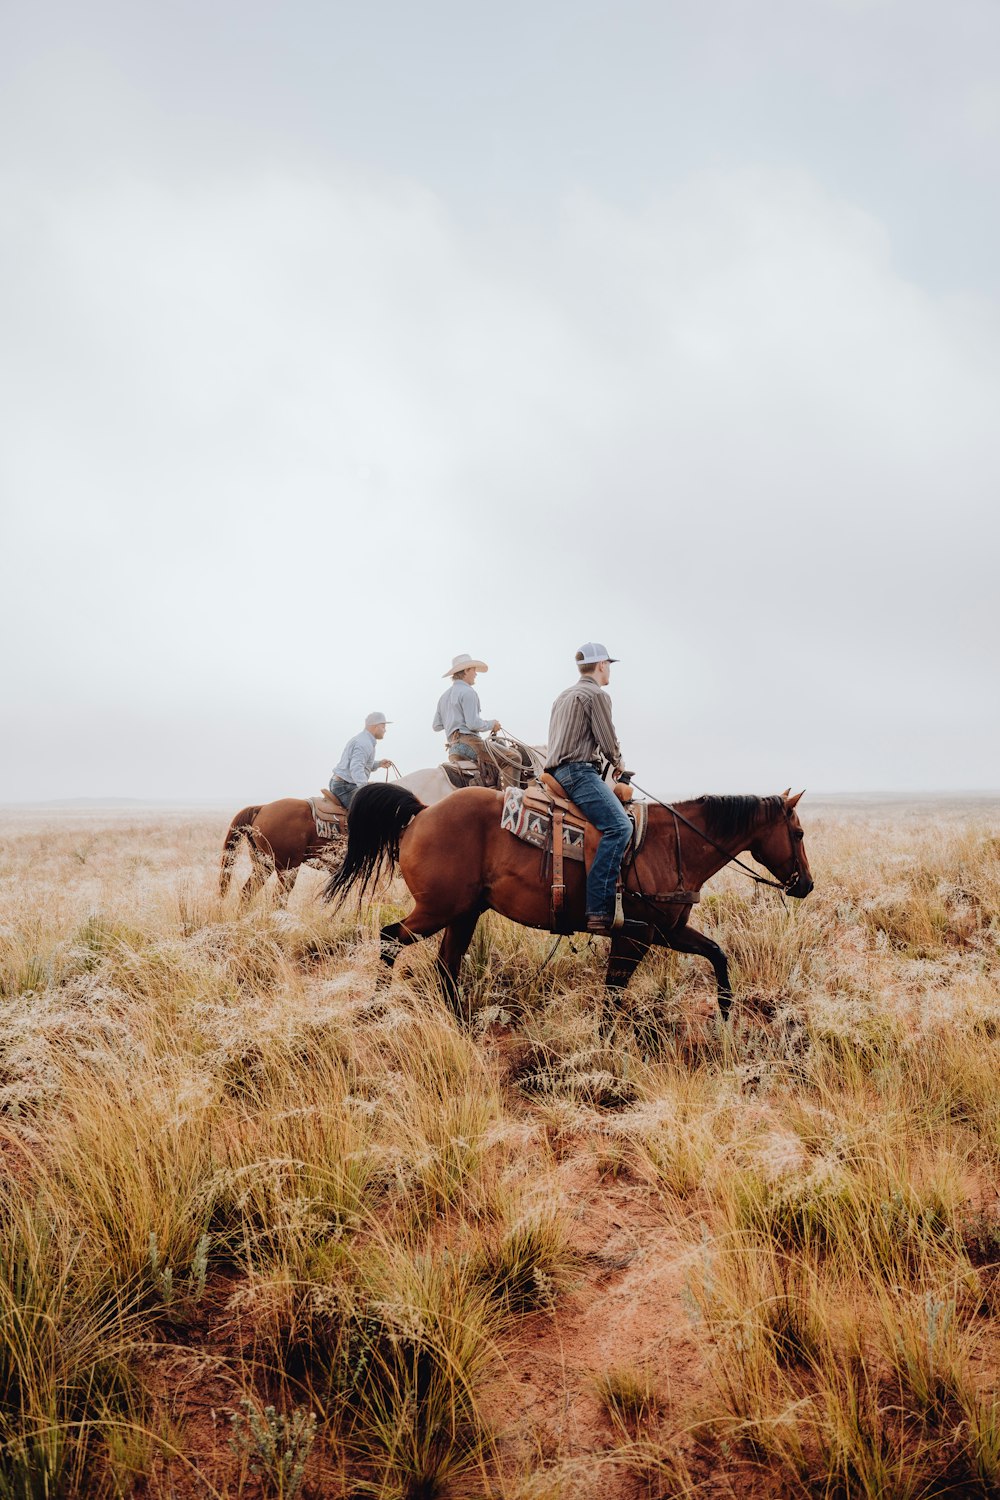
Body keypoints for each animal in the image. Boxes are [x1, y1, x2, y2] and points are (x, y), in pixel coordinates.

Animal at [326, 786, 815, 1020]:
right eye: (798, 832)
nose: (806, 885)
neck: (671, 846)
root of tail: (424, 811)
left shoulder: (668, 931)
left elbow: (717, 955)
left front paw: (726, 1017)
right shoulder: (634, 937)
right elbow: (613, 995)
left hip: (463, 914)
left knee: (446, 966)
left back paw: (460, 1025)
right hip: (438, 910)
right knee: (390, 939)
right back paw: (377, 1007)